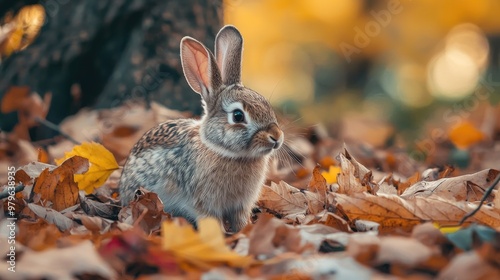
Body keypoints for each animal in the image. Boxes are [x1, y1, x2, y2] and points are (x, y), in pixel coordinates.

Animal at [119, 25, 284, 232]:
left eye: (267, 105)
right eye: (238, 116)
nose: (276, 136)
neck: (224, 151)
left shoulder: (240, 205)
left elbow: (240, 220)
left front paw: (244, 230)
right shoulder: (204, 203)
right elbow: (211, 220)